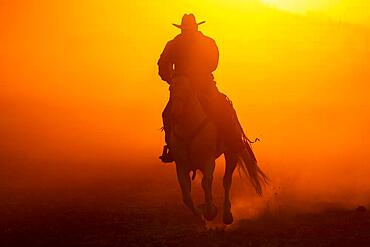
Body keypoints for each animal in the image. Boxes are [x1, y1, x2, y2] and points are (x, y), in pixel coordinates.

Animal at [168, 76, 268, 225]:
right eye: (171, 89)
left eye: (187, 90)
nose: (174, 114)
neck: (188, 126)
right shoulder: (181, 165)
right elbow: (186, 196)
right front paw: (200, 215)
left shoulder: (208, 160)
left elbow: (206, 182)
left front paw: (210, 211)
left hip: (231, 154)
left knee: (226, 181)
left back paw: (227, 215)